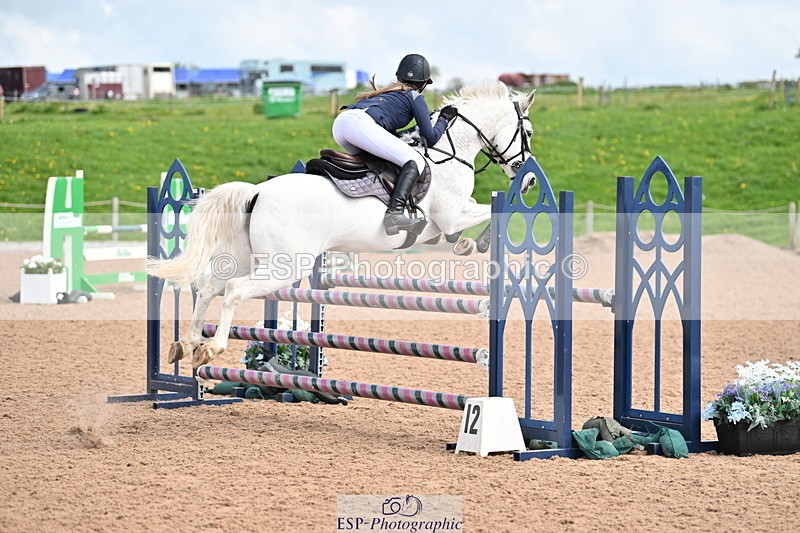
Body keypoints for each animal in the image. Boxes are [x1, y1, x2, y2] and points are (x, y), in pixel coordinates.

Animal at [146, 81, 537, 368]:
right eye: (529, 132)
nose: (530, 180)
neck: (449, 153)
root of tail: (256, 192)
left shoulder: (442, 224)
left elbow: (468, 223)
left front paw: (468, 243)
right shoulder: (453, 213)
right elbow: (488, 212)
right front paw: (478, 242)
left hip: (250, 257)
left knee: (209, 286)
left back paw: (188, 343)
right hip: (285, 267)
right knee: (233, 291)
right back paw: (211, 347)